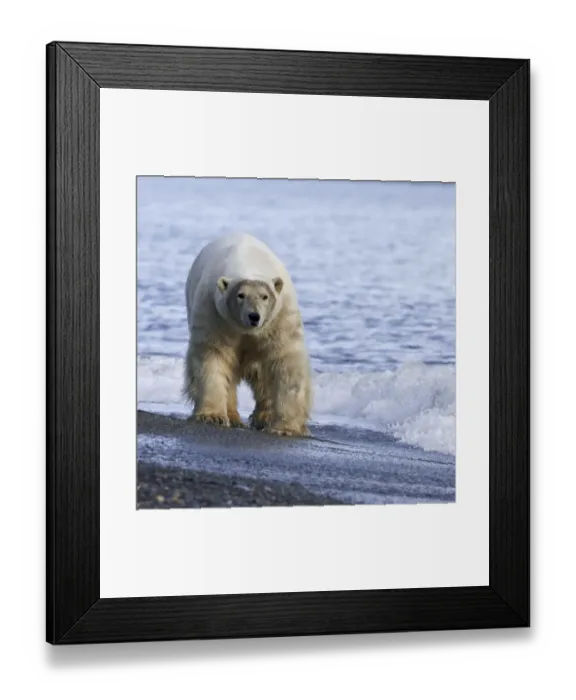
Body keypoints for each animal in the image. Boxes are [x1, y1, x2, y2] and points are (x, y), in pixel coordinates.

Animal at [184, 233, 312, 437]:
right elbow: (213, 357)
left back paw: (264, 417)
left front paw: (285, 428)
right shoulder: (215, 315)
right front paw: (212, 416)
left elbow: (286, 363)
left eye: (264, 296)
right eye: (240, 295)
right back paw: (234, 417)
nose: (254, 316)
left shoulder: (280, 319)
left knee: (263, 374)